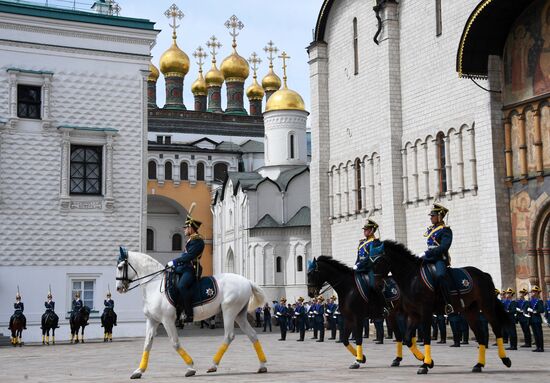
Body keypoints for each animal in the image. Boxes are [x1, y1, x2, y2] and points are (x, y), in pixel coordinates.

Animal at [116, 250, 270, 380]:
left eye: (120, 266)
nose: (118, 288)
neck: (154, 286)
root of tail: (247, 281)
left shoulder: (167, 320)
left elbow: (175, 343)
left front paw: (190, 367)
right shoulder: (152, 320)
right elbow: (147, 344)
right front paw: (139, 371)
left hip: (229, 311)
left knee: (229, 336)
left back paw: (213, 365)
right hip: (239, 315)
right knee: (252, 335)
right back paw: (262, 365)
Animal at [374, 243, 516, 376]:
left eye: (379, 261)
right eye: (371, 262)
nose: (378, 285)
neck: (412, 278)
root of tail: (483, 274)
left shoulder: (424, 312)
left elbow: (425, 336)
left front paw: (425, 364)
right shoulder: (413, 314)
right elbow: (408, 338)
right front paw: (426, 361)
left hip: (486, 307)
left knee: (496, 329)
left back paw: (505, 359)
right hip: (469, 311)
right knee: (480, 335)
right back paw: (479, 365)